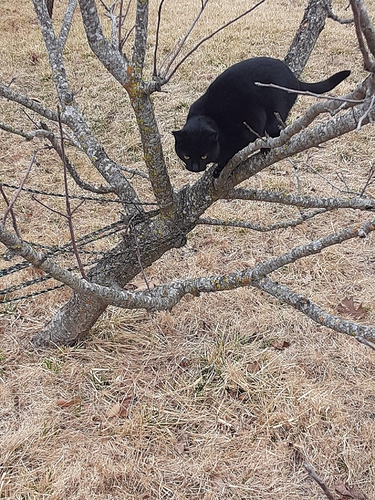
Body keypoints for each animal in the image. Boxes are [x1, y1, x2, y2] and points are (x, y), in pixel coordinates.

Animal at [175, 56, 352, 177]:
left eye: (203, 155)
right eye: (186, 155)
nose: (195, 168)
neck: (212, 118)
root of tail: (295, 79)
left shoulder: (252, 120)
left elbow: (231, 153)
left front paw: (220, 168)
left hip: (275, 112)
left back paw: (267, 147)